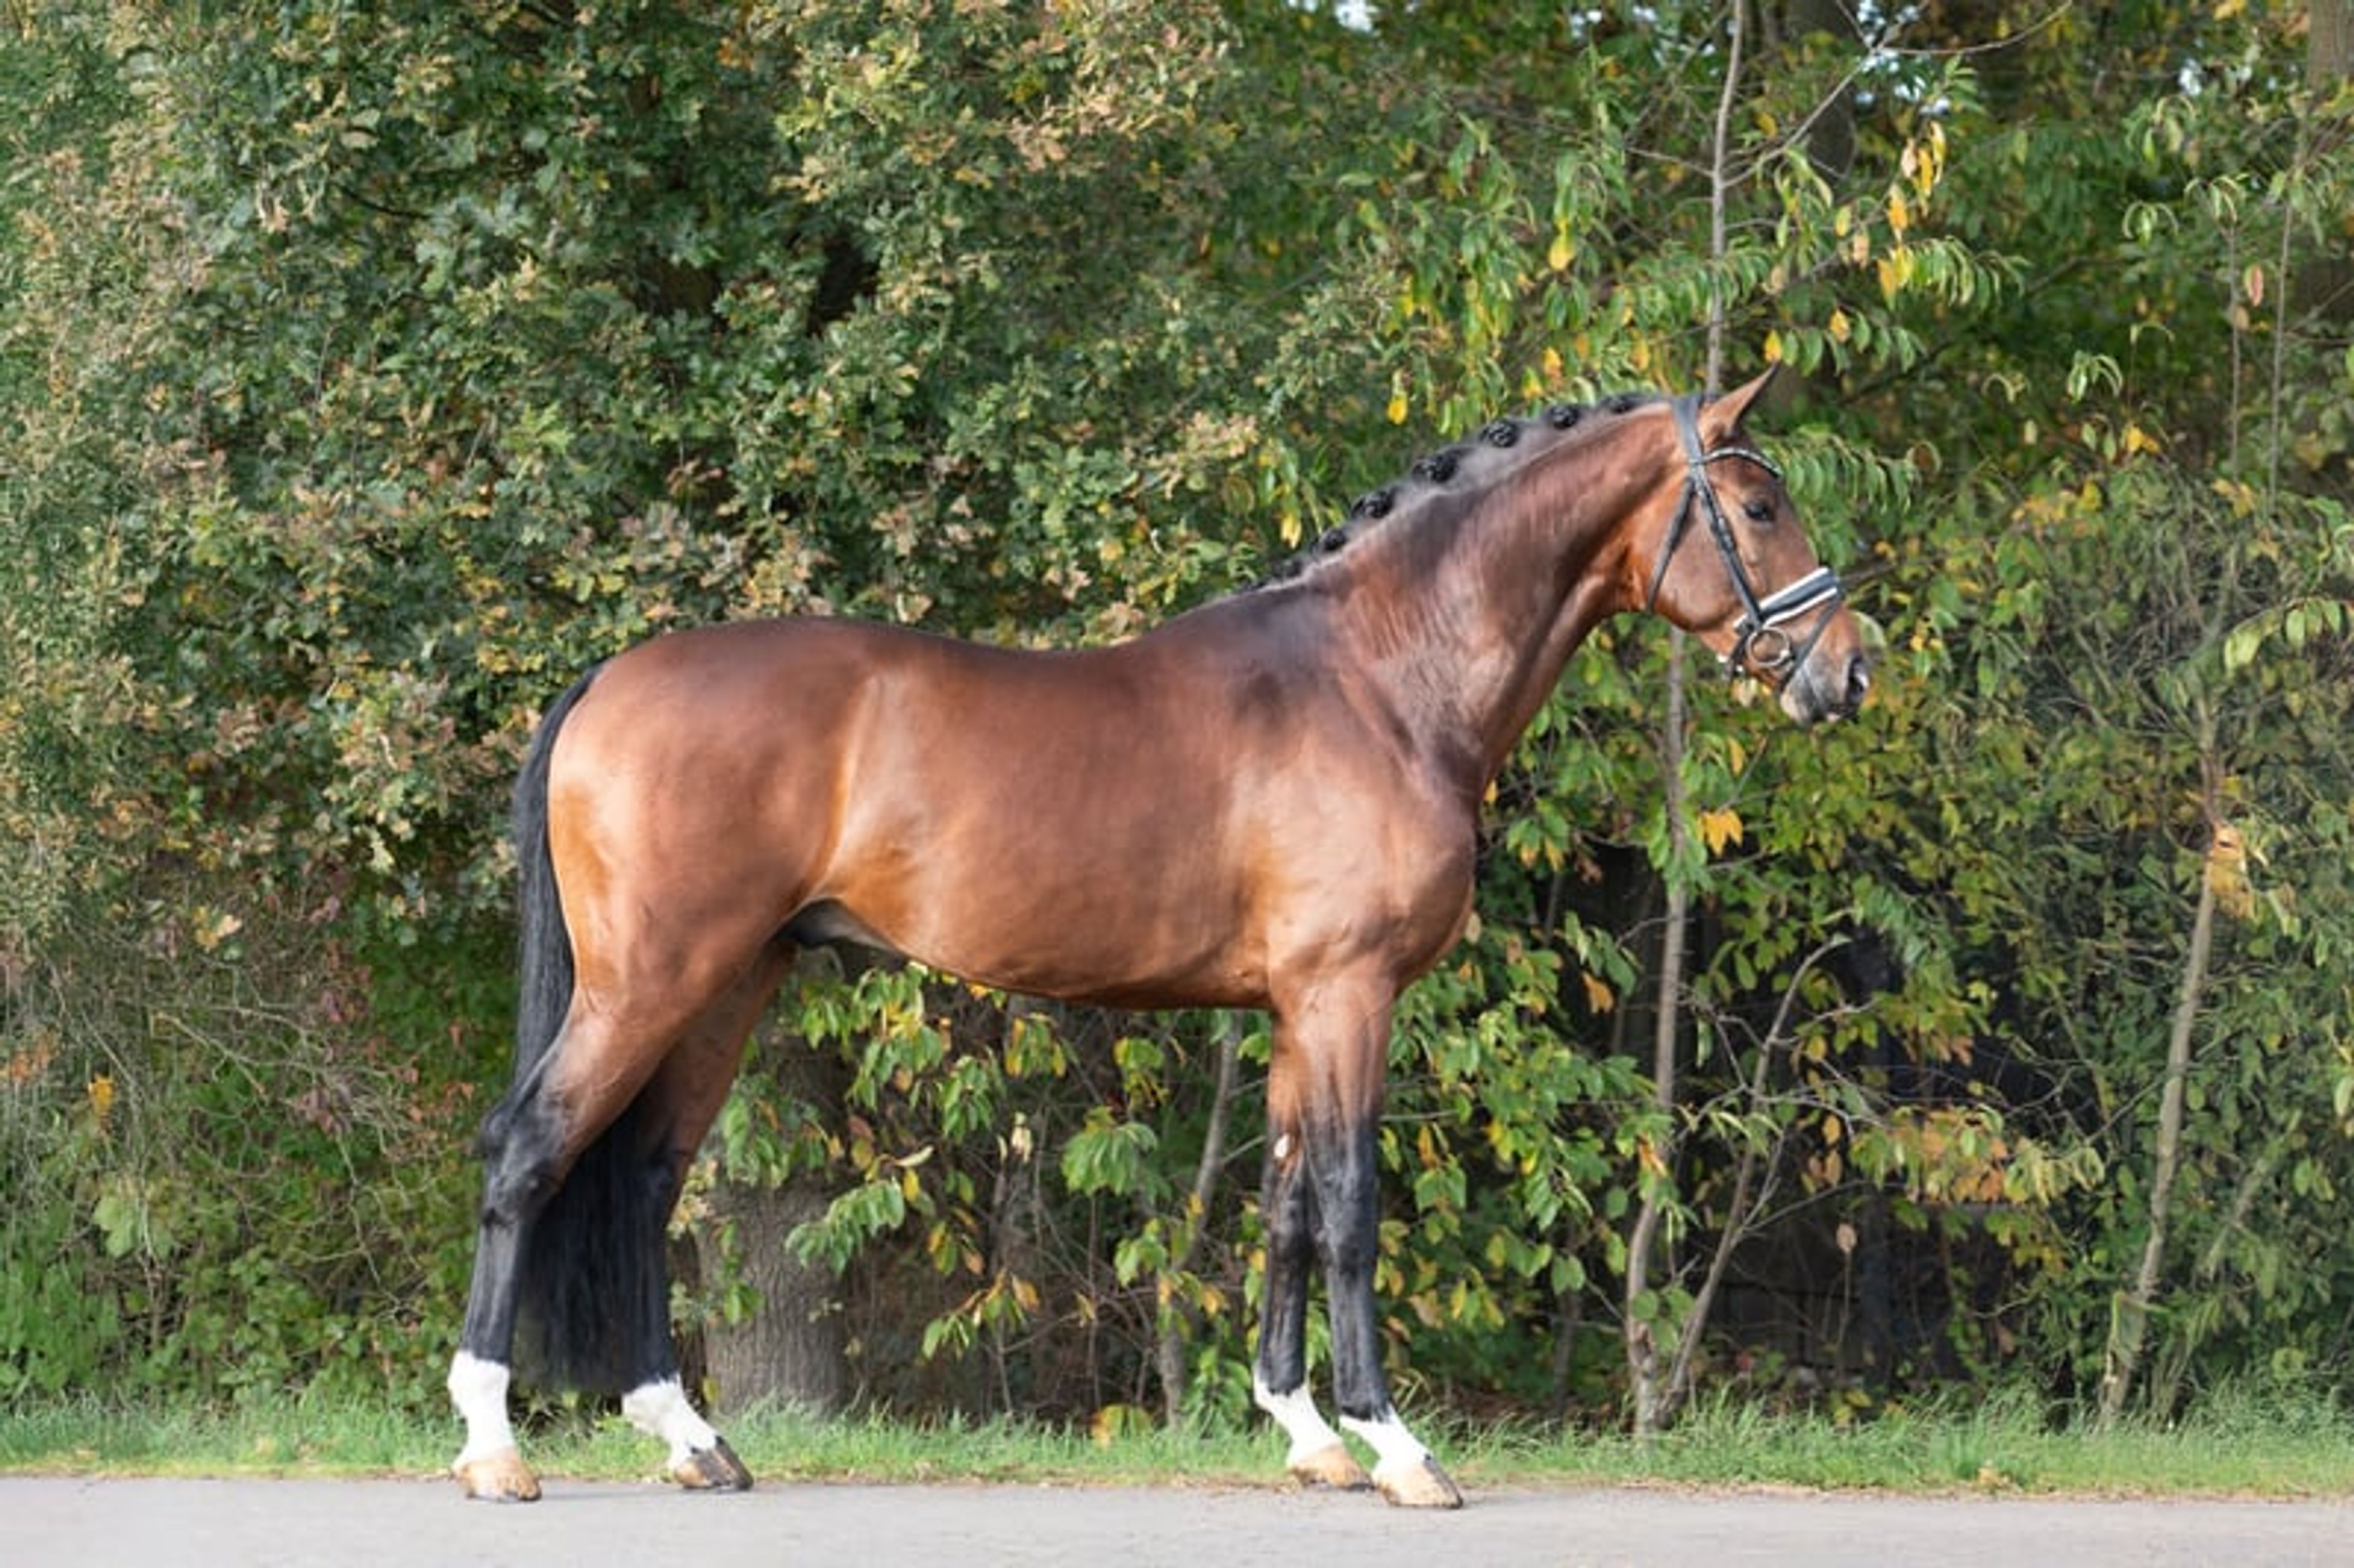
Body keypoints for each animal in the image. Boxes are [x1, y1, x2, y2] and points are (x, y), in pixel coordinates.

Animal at [446, 367, 1870, 1508]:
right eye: (1757, 507)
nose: (1845, 672)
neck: (1378, 679)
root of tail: (610, 678)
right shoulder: (1349, 994)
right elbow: (1350, 1205)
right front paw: (1398, 1447)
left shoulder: (1299, 1007)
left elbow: (1287, 1204)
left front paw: (1309, 1436)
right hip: (650, 979)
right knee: (529, 1149)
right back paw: (494, 1444)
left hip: (731, 980)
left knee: (641, 1179)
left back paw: (689, 1436)